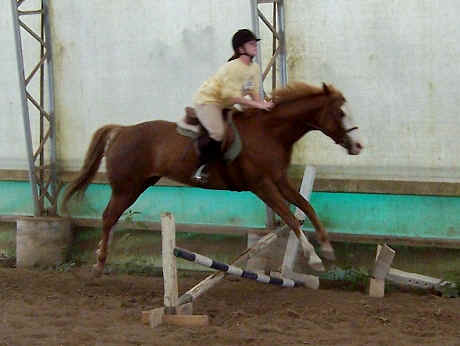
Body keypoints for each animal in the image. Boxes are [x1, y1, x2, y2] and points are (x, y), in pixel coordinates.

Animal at [62, 81, 362, 276]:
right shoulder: (262, 185)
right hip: (127, 187)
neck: (271, 132)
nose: (358, 146)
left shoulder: (279, 180)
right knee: (108, 217)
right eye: (340, 113)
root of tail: (122, 131)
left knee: (111, 218)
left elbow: (306, 207)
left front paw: (327, 248)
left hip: (140, 184)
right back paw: (100, 262)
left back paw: (102, 255)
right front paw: (314, 258)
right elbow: (289, 216)